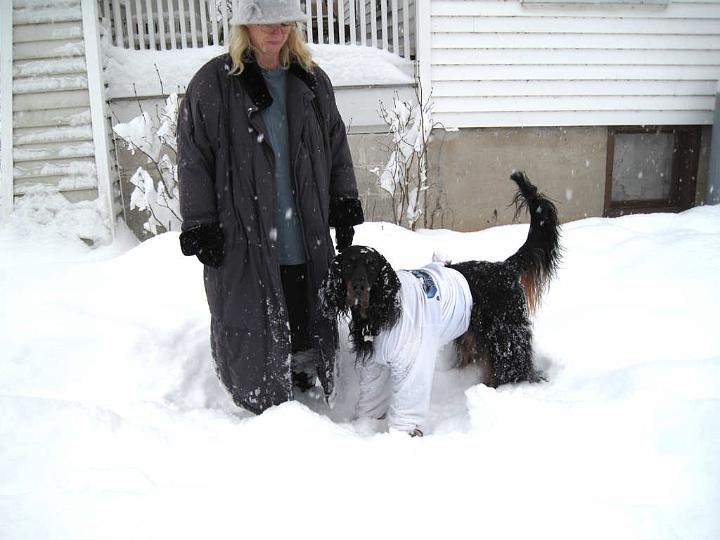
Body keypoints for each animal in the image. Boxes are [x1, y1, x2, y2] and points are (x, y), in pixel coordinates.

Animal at [320, 172, 564, 434]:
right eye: (348, 265)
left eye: (372, 266)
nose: (359, 287)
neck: (381, 312)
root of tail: (505, 267)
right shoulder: (373, 366)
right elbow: (371, 400)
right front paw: (364, 426)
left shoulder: (412, 362)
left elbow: (408, 402)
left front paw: (402, 434)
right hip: (473, 337)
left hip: (505, 336)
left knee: (514, 367)